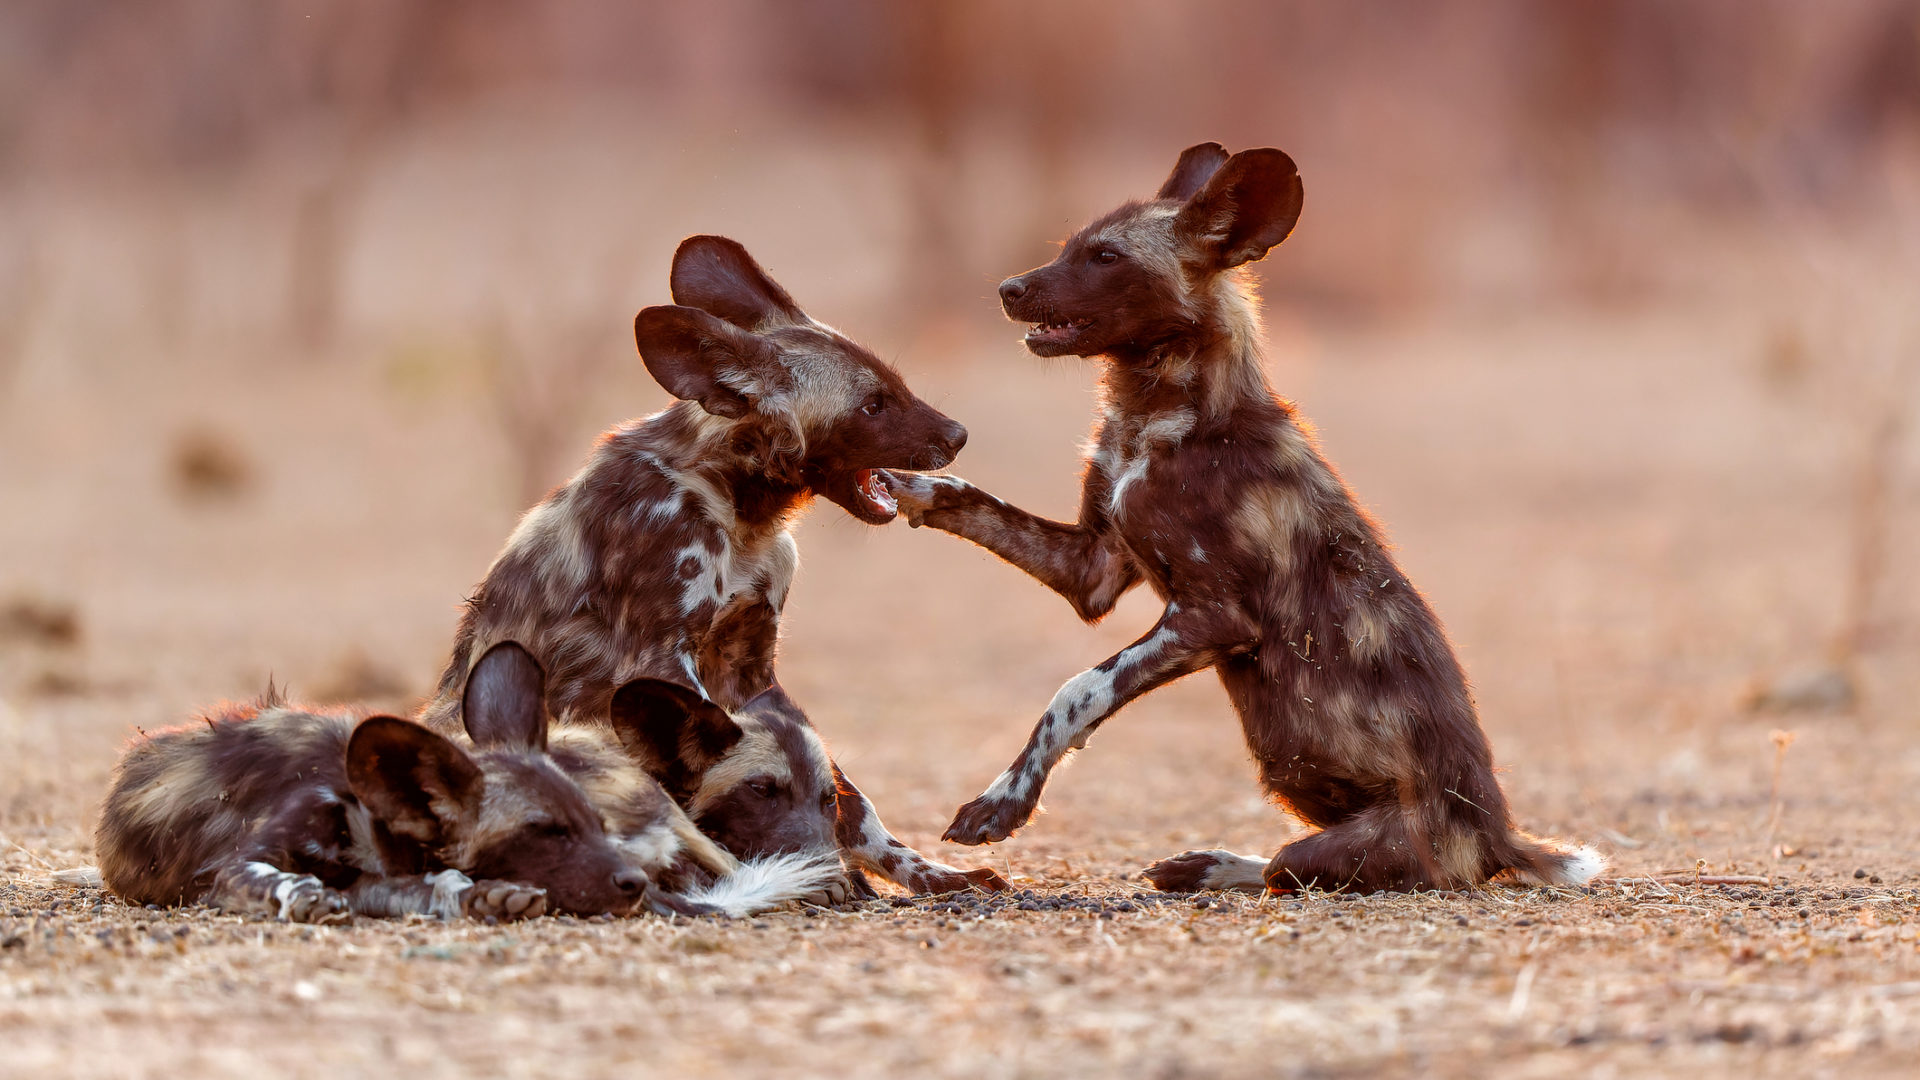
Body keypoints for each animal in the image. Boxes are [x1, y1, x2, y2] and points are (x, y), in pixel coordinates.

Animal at [95, 641, 645, 922]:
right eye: (548, 832)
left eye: (599, 825)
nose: (635, 882)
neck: (363, 813)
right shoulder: (231, 870)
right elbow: (276, 879)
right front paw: (305, 896)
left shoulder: (374, 884)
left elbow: (428, 885)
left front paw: (482, 897)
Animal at [422, 235, 1013, 891]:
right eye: (873, 405)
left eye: (896, 388)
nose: (958, 435)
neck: (742, 514)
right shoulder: (663, 660)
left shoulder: (754, 670)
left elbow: (841, 791)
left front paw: (925, 872)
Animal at [883, 138, 1605, 887]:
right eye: (1069, 249)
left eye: (1106, 257)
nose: (1009, 289)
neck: (1155, 417)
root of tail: (1500, 838)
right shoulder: (1091, 566)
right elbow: (968, 496)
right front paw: (898, 482)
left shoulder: (1211, 618)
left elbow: (1076, 691)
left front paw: (1000, 805)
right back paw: (1198, 866)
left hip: (1354, 841)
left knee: (1285, 869)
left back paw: (1216, 867)